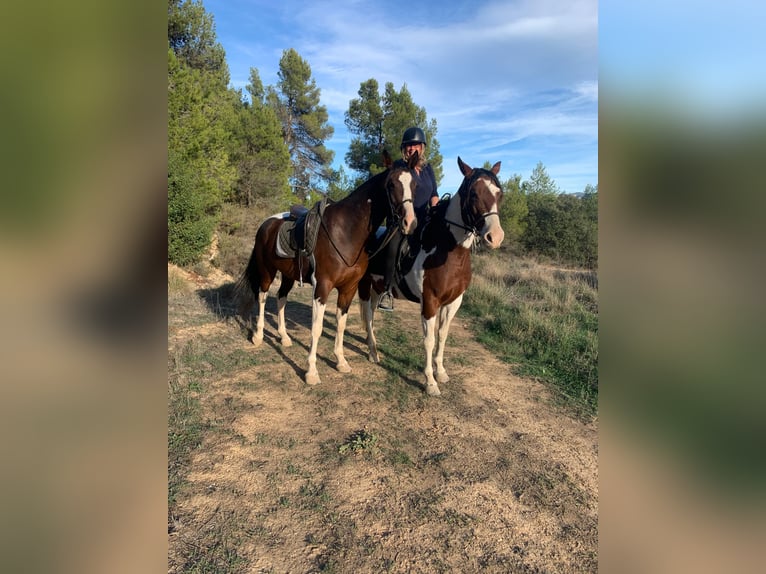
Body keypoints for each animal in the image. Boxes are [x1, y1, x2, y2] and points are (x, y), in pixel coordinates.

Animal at [240, 152, 420, 388]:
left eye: (415, 184)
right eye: (391, 185)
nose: (410, 223)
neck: (346, 231)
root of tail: (267, 223)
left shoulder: (349, 288)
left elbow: (341, 324)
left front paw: (341, 362)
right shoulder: (322, 287)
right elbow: (316, 328)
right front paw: (311, 372)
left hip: (288, 275)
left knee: (281, 298)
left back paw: (284, 337)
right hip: (267, 271)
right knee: (262, 297)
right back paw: (258, 336)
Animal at [358, 159, 508, 400]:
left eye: (499, 194)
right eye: (474, 194)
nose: (495, 237)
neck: (447, 250)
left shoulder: (453, 302)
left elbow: (442, 335)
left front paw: (442, 372)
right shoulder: (429, 302)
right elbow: (429, 340)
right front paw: (430, 382)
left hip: (376, 286)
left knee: (370, 313)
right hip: (363, 285)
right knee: (368, 314)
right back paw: (373, 352)